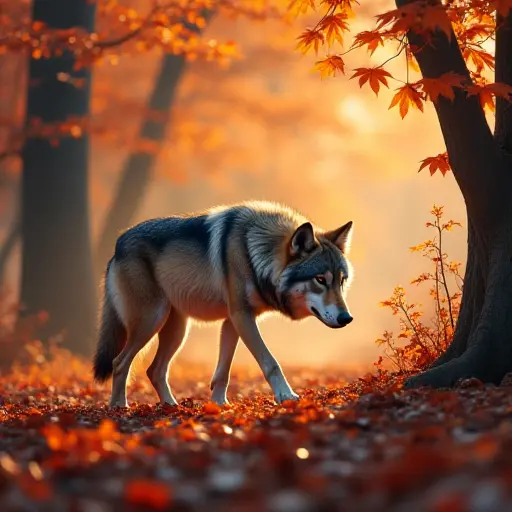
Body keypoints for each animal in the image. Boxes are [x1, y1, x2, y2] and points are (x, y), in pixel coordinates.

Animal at [93, 202, 352, 406]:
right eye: (320, 280)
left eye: (341, 280)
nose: (346, 318)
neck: (255, 254)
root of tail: (117, 245)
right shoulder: (241, 316)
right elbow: (270, 362)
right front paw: (286, 396)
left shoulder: (232, 321)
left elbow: (223, 372)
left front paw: (218, 405)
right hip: (152, 320)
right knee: (119, 362)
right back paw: (119, 407)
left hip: (177, 330)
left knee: (154, 370)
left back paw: (171, 406)